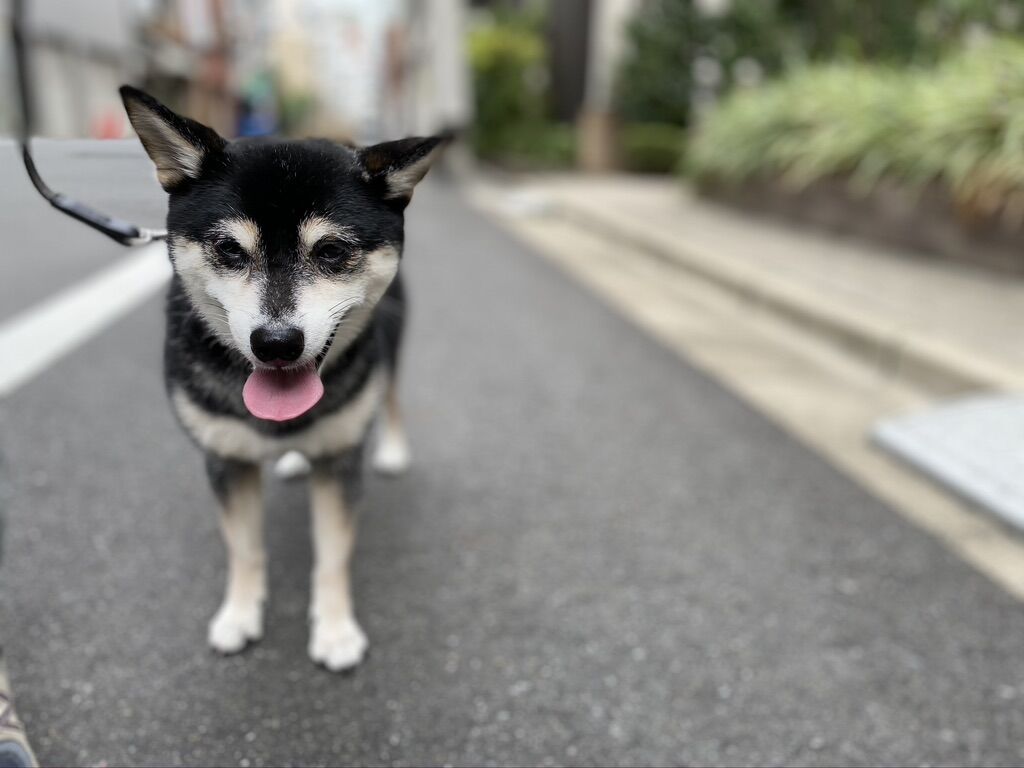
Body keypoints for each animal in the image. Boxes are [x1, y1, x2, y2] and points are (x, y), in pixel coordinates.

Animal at [119, 86, 446, 671]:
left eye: (332, 251)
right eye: (229, 249)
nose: (275, 344)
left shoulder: (339, 462)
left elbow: (332, 556)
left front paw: (335, 631)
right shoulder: (225, 459)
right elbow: (245, 549)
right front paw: (239, 615)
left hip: (392, 345)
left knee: (390, 395)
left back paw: (391, 449)